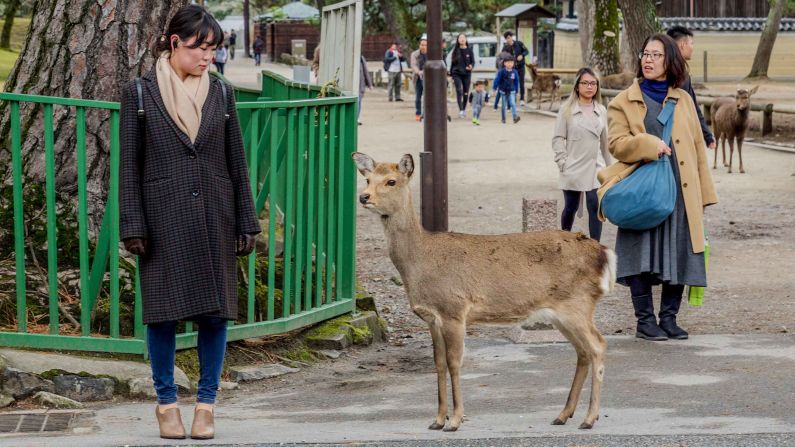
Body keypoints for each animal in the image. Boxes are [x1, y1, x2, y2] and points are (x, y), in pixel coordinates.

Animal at [352, 153, 620, 434]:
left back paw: (589, 418)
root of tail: (604, 254)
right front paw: (437, 420)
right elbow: (438, 363)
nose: (364, 197)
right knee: (583, 352)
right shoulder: (432, 318)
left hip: (577, 304)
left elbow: (454, 362)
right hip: (562, 313)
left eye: (391, 181)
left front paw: (455, 421)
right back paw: (563, 414)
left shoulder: (454, 309)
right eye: (368, 179)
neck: (419, 264)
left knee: (598, 345)